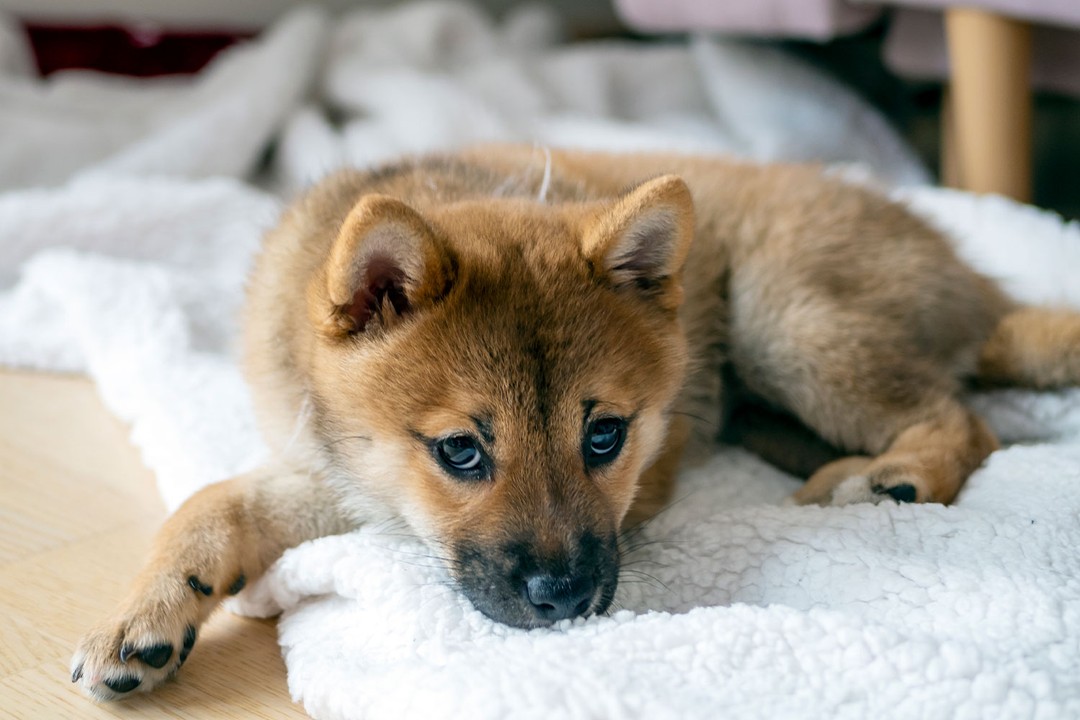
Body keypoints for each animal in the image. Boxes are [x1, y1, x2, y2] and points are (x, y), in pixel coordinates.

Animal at [71, 143, 1080, 699]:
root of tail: (978, 290)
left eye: (605, 437)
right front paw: (146, 617)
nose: (562, 600)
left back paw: (894, 477)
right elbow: (211, 504)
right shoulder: (345, 481)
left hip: (789, 320)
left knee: (964, 419)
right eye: (460, 451)